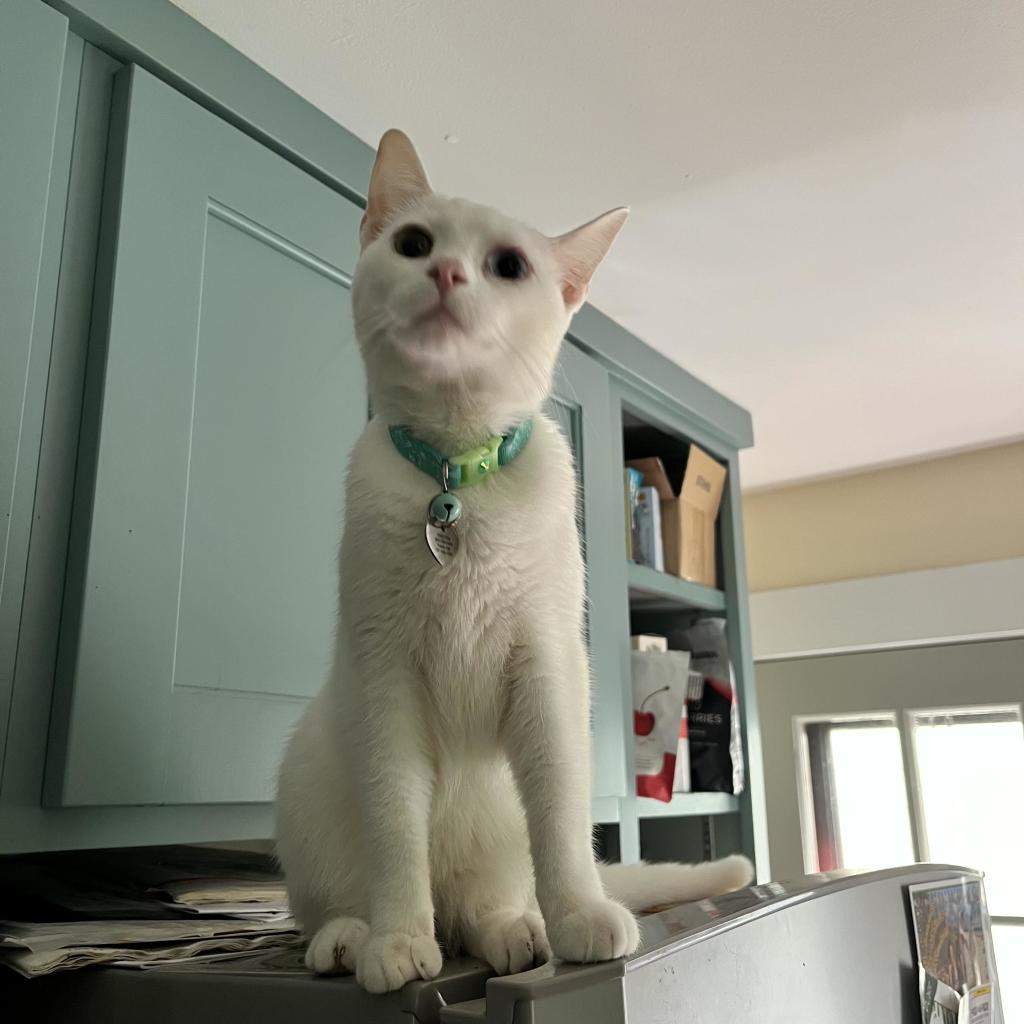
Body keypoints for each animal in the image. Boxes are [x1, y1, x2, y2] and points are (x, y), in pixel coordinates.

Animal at [274, 128, 753, 991]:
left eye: (507, 266)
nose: (447, 273)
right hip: (311, 776)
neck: (455, 478)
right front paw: (399, 941)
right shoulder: (384, 680)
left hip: (496, 817)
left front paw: (580, 919)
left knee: (488, 902)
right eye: (415, 244)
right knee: (348, 900)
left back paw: (519, 931)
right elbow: (397, 831)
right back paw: (354, 938)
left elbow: (562, 822)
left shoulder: (547, 670)